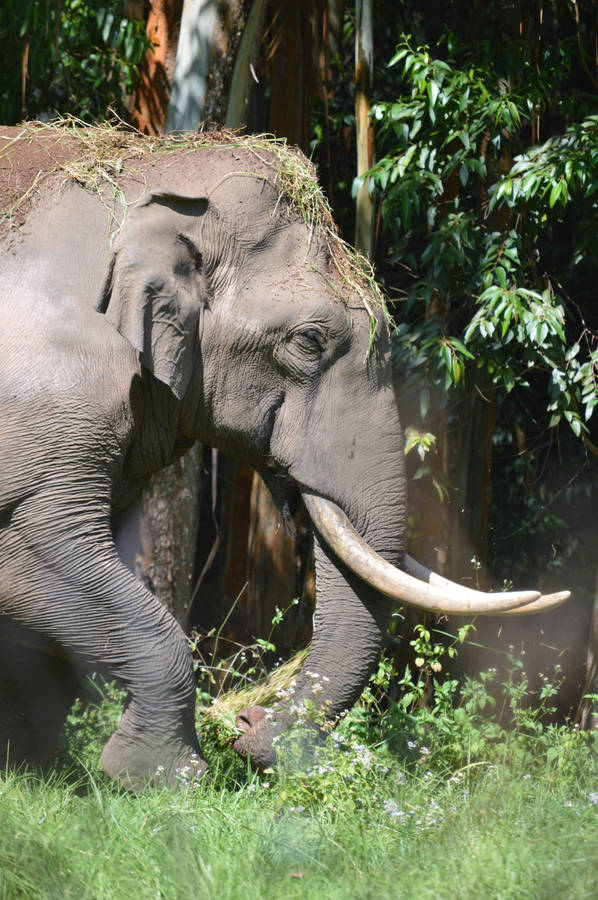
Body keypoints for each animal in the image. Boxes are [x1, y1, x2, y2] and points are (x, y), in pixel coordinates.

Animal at [0, 124, 569, 789]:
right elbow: (40, 554)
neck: (147, 168)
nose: (249, 725)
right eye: (309, 341)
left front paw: (37, 771)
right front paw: (163, 778)